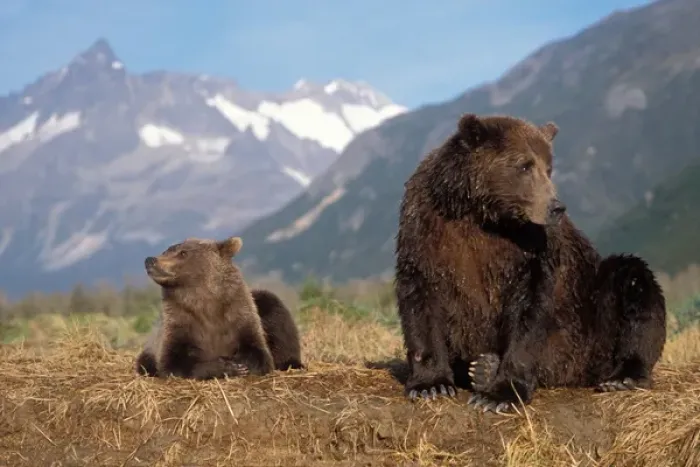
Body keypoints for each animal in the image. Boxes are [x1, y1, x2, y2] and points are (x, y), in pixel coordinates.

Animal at [134, 235, 303, 379]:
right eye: (166, 251)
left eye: (183, 253)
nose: (150, 260)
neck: (206, 305)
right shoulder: (179, 324)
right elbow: (174, 365)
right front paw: (226, 366)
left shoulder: (240, 316)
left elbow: (258, 353)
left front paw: (240, 363)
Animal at [393, 113, 667, 414]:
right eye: (524, 165)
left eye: (549, 168)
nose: (556, 206)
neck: (482, 215)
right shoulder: (427, 226)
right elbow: (420, 295)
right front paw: (430, 385)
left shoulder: (531, 250)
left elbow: (530, 307)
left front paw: (499, 395)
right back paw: (481, 368)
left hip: (594, 318)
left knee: (632, 279)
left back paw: (624, 376)